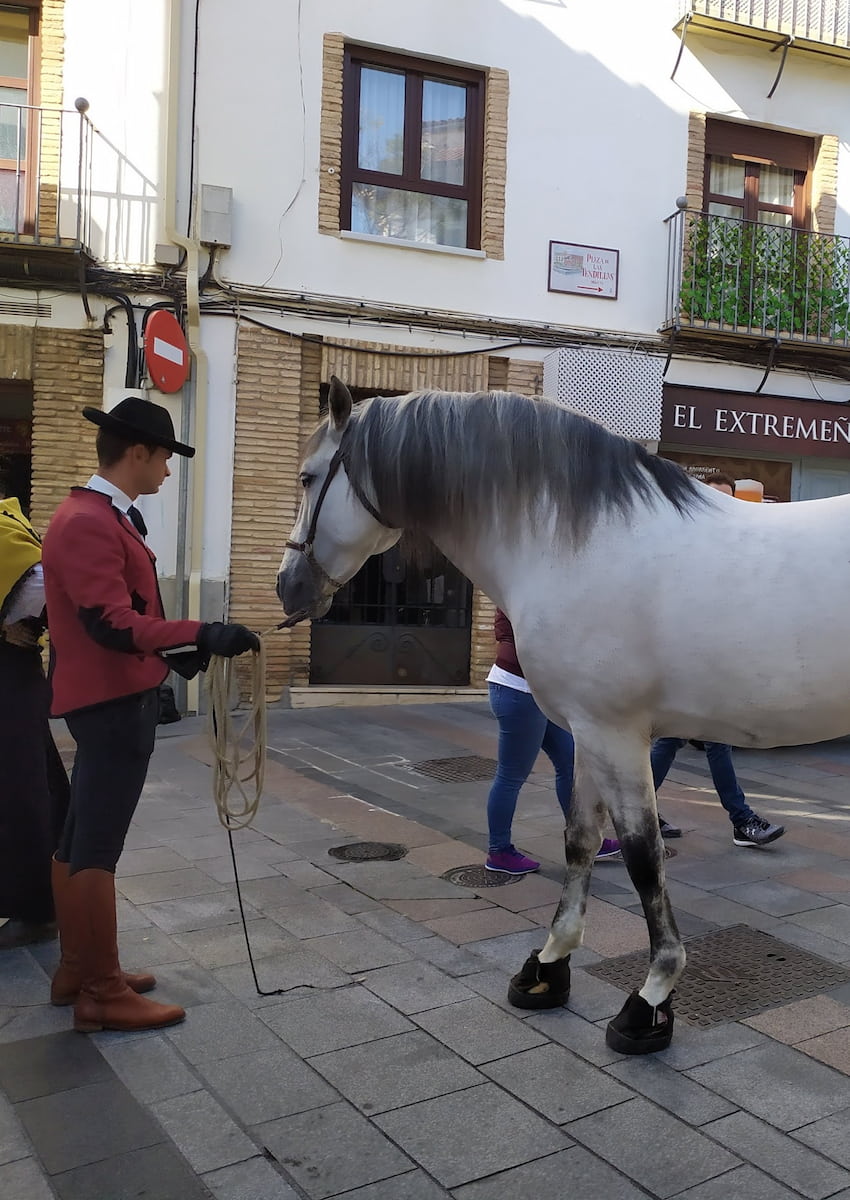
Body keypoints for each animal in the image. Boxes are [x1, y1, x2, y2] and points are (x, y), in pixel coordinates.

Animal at [276, 376, 850, 1053]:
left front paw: (651, 998)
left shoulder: (615, 734)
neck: (577, 544)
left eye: (308, 477)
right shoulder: (587, 733)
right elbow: (580, 841)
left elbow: (641, 856)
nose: (287, 585)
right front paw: (549, 966)